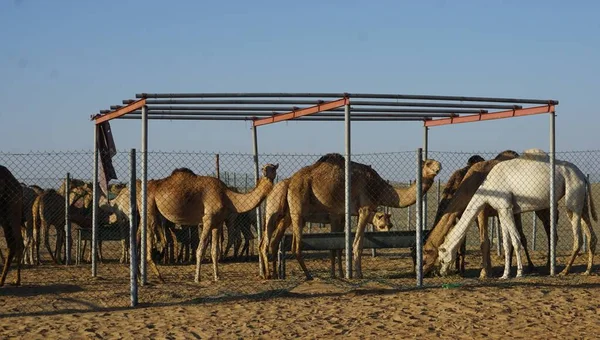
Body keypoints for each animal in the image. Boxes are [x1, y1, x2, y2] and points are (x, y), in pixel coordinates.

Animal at [144, 163, 278, 282]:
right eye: (263, 167)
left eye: (272, 168)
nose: (264, 172)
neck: (226, 196)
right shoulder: (207, 220)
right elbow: (200, 249)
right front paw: (197, 278)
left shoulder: (217, 223)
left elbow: (214, 251)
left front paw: (217, 277)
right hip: (150, 207)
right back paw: (158, 276)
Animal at [258, 178, 394, 278]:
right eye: (381, 225)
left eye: (390, 225)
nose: (388, 234)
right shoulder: (335, 218)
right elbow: (333, 246)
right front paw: (334, 274)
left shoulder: (342, 220)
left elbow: (339, 247)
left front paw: (340, 273)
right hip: (276, 212)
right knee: (269, 240)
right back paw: (270, 274)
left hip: (286, 218)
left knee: (273, 242)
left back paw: (273, 274)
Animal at [286, 154, 440, 278]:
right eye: (428, 163)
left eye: (390, 225)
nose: (439, 167)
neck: (380, 188)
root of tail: (290, 181)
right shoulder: (364, 209)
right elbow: (357, 244)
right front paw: (358, 274)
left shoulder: (346, 215)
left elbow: (340, 245)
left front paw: (342, 274)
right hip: (298, 203)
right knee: (296, 247)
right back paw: (309, 276)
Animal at [420, 150, 556, 278]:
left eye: (424, 256)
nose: (423, 273)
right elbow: (479, 242)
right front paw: (486, 270)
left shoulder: (481, 210)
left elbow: (484, 242)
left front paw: (484, 273)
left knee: (546, 230)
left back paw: (545, 266)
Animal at [436, 149, 596, 278]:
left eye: (442, 258)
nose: (441, 272)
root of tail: (583, 176)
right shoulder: (502, 210)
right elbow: (507, 243)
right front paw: (505, 275)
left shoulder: (506, 207)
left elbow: (516, 240)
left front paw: (519, 273)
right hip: (581, 199)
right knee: (591, 234)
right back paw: (587, 270)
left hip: (571, 198)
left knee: (577, 238)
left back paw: (564, 271)